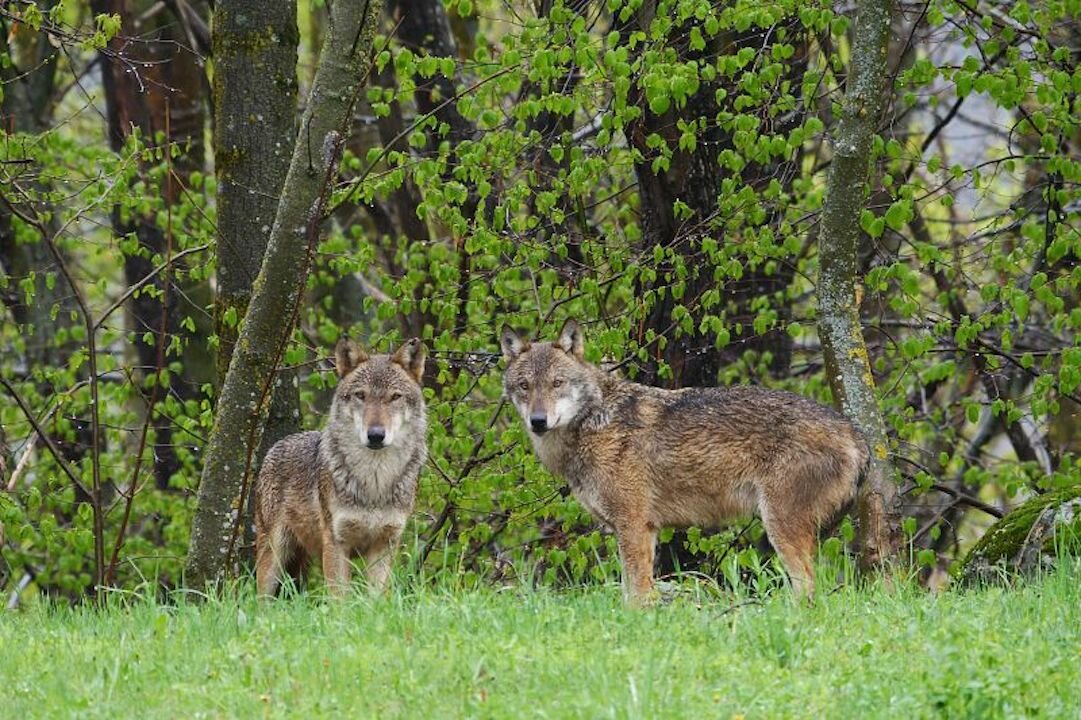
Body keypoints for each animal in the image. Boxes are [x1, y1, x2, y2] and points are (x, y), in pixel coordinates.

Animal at [254, 337, 425, 592]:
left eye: (395, 397)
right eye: (360, 395)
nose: (376, 435)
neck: (374, 482)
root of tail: (277, 445)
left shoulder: (385, 545)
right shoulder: (336, 542)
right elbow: (339, 598)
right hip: (273, 556)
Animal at [499, 317, 869, 601]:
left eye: (557, 383)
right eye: (524, 386)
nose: (538, 421)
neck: (593, 423)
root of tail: (854, 432)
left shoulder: (632, 525)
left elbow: (636, 595)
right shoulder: (644, 529)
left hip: (780, 527)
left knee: (807, 588)